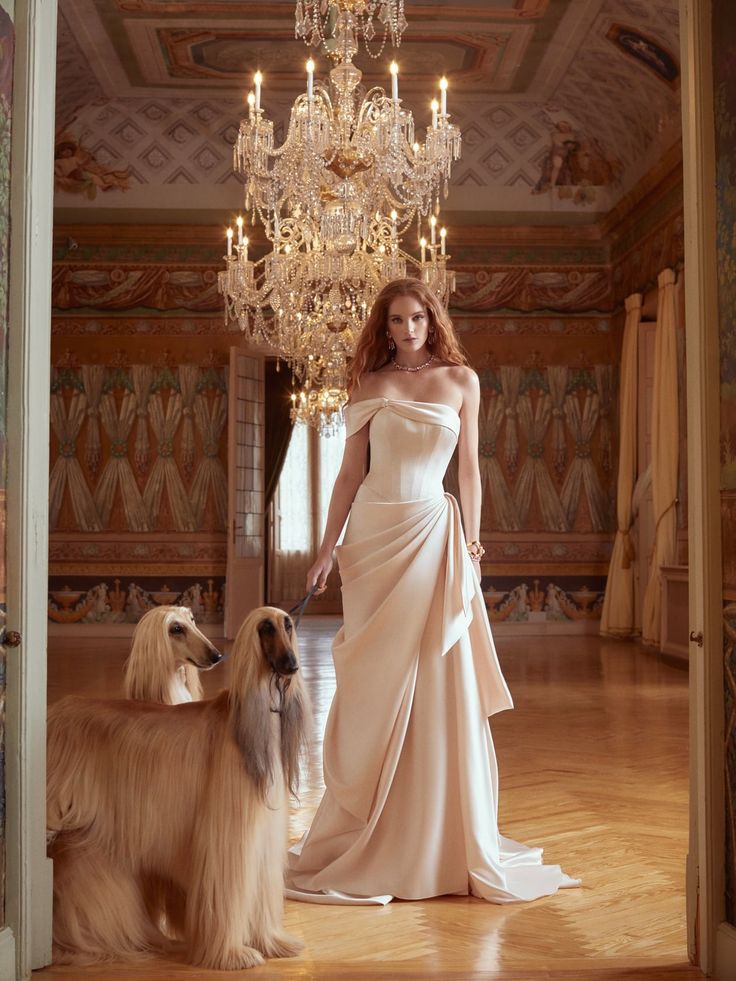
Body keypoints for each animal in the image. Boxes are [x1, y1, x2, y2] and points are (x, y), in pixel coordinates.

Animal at [46, 608, 310, 968]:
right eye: (266, 628)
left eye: (288, 625)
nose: (291, 665)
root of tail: (55, 712)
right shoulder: (227, 835)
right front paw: (232, 953)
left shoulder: (262, 838)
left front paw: (272, 941)